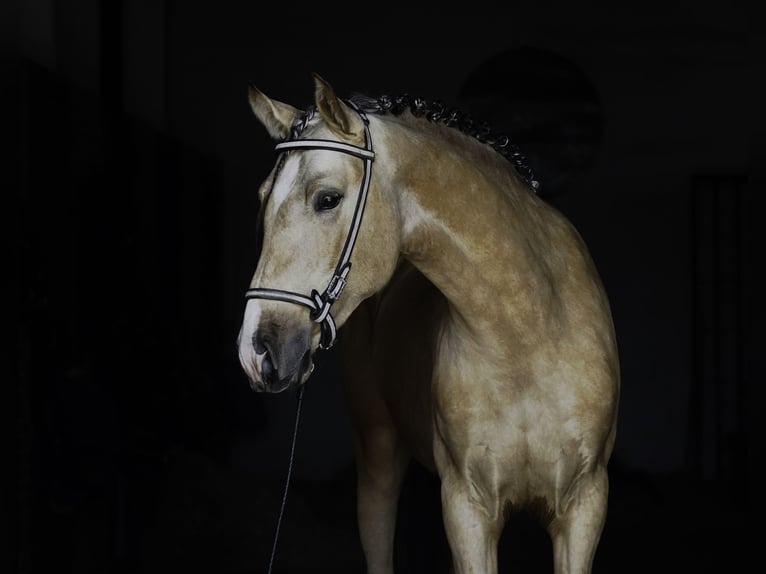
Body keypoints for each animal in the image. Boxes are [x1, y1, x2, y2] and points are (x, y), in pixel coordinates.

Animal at [237, 73, 620, 574]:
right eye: (264, 198)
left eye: (327, 199)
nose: (256, 351)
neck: (526, 332)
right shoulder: (466, 510)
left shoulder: (583, 508)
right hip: (378, 461)